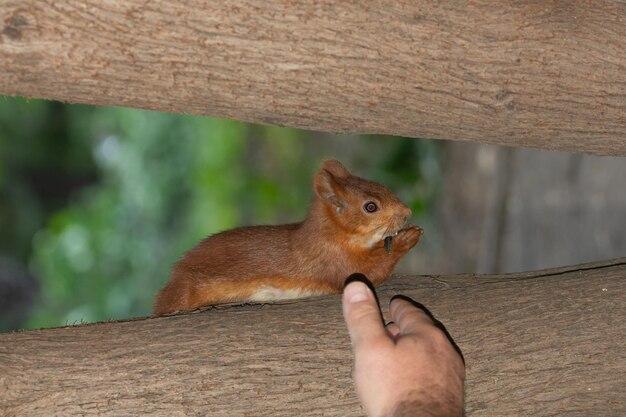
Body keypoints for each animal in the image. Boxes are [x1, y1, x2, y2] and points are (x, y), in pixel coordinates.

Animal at [154, 159, 422, 316]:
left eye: (382, 185)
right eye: (370, 206)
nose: (407, 212)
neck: (329, 234)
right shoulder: (330, 261)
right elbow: (368, 271)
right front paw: (407, 237)